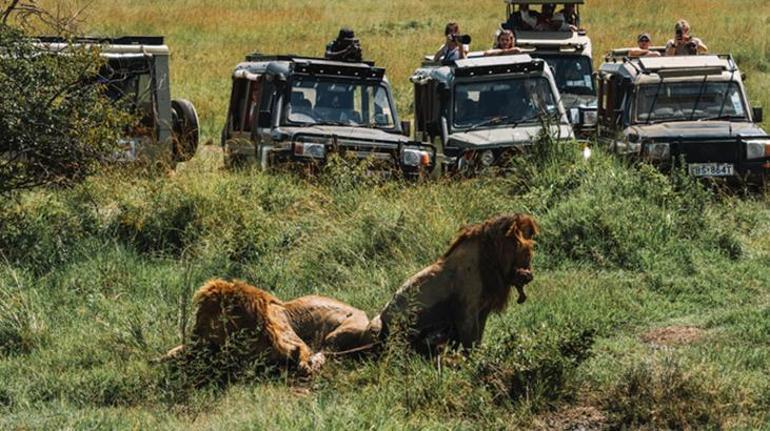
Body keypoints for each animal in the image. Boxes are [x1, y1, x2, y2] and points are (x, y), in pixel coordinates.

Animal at [368, 214, 536, 352]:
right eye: (525, 253)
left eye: (529, 253)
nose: (529, 276)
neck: (492, 260)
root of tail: (383, 316)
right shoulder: (467, 311)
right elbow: (470, 342)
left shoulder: (483, 310)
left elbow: (478, 338)